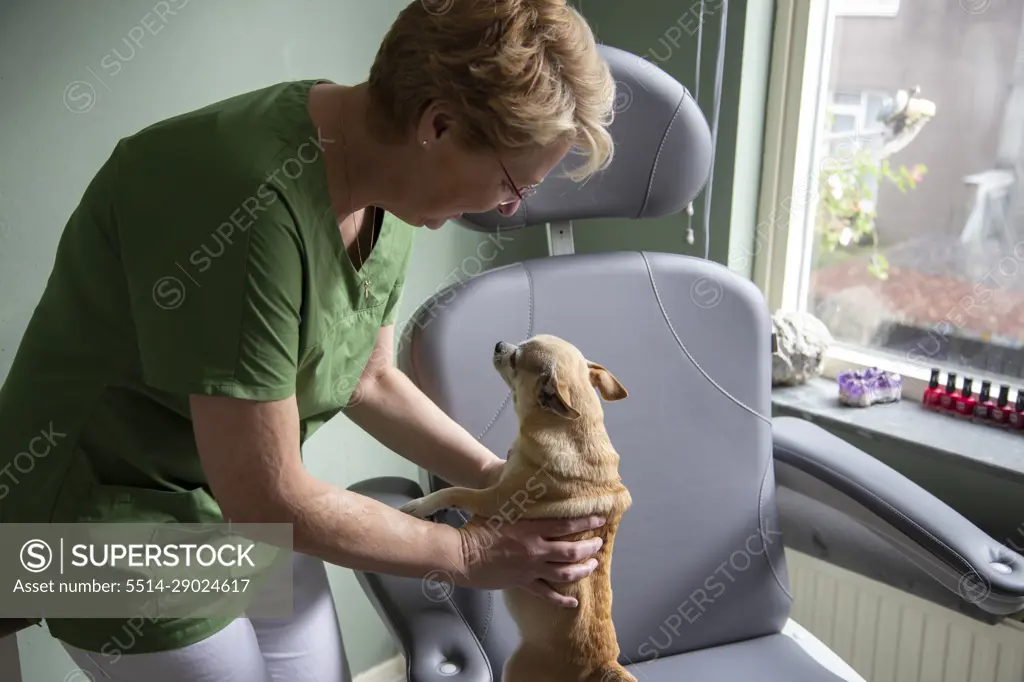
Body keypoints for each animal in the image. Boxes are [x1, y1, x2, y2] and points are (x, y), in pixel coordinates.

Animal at [397, 331, 630, 675]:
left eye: (516, 360)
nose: (499, 345)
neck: (574, 431)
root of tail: (603, 663)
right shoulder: (499, 480)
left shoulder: (495, 500)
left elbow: (457, 492)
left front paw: (423, 505)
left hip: (517, 664)